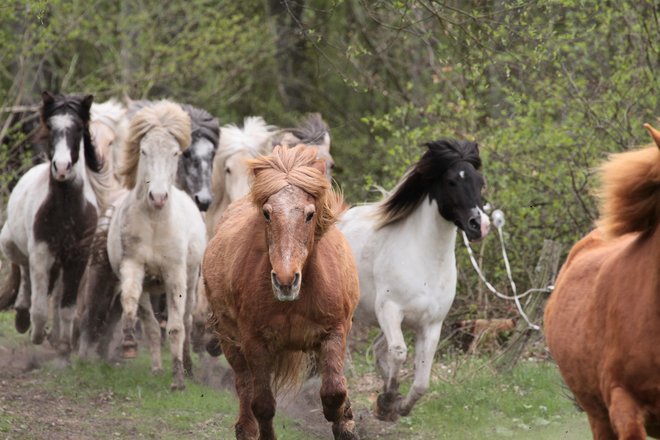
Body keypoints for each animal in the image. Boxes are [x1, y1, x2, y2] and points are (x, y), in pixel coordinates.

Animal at [0, 91, 116, 356]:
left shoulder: (78, 257)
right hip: (12, 245)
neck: (66, 211)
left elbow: (67, 308)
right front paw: (36, 333)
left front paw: (63, 345)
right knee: (24, 272)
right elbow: (41, 307)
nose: (62, 168)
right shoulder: (41, 253)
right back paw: (22, 317)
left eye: (79, 128)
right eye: (51, 127)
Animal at [108, 101, 206, 390]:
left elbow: (175, 327)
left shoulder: (174, 275)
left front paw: (178, 382)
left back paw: (188, 368)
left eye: (175, 153)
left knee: (186, 321)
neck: (154, 222)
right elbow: (132, 304)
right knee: (151, 323)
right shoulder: (133, 266)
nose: (158, 197)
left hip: (191, 281)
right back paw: (156, 368)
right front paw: (129, 344)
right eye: (143, 150)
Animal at [205, 145, 360, 440]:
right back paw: (246, 429)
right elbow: (263, 404)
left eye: (310, 214)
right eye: (267, 213)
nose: (286, 280)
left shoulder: (335, 331)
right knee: (245, 389)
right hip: (230, 342)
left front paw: (344, 421)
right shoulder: (254, 342)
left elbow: (334, 390)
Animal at [340, 139, 490, 422]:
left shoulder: (430, 324)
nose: (480, 225)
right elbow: (399, 352)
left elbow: (421, 382)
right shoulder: (389, 310)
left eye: (480, 182)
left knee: (377, 347)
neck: (426, 260)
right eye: (451, 182)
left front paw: (396, 406)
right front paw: (388, 401)